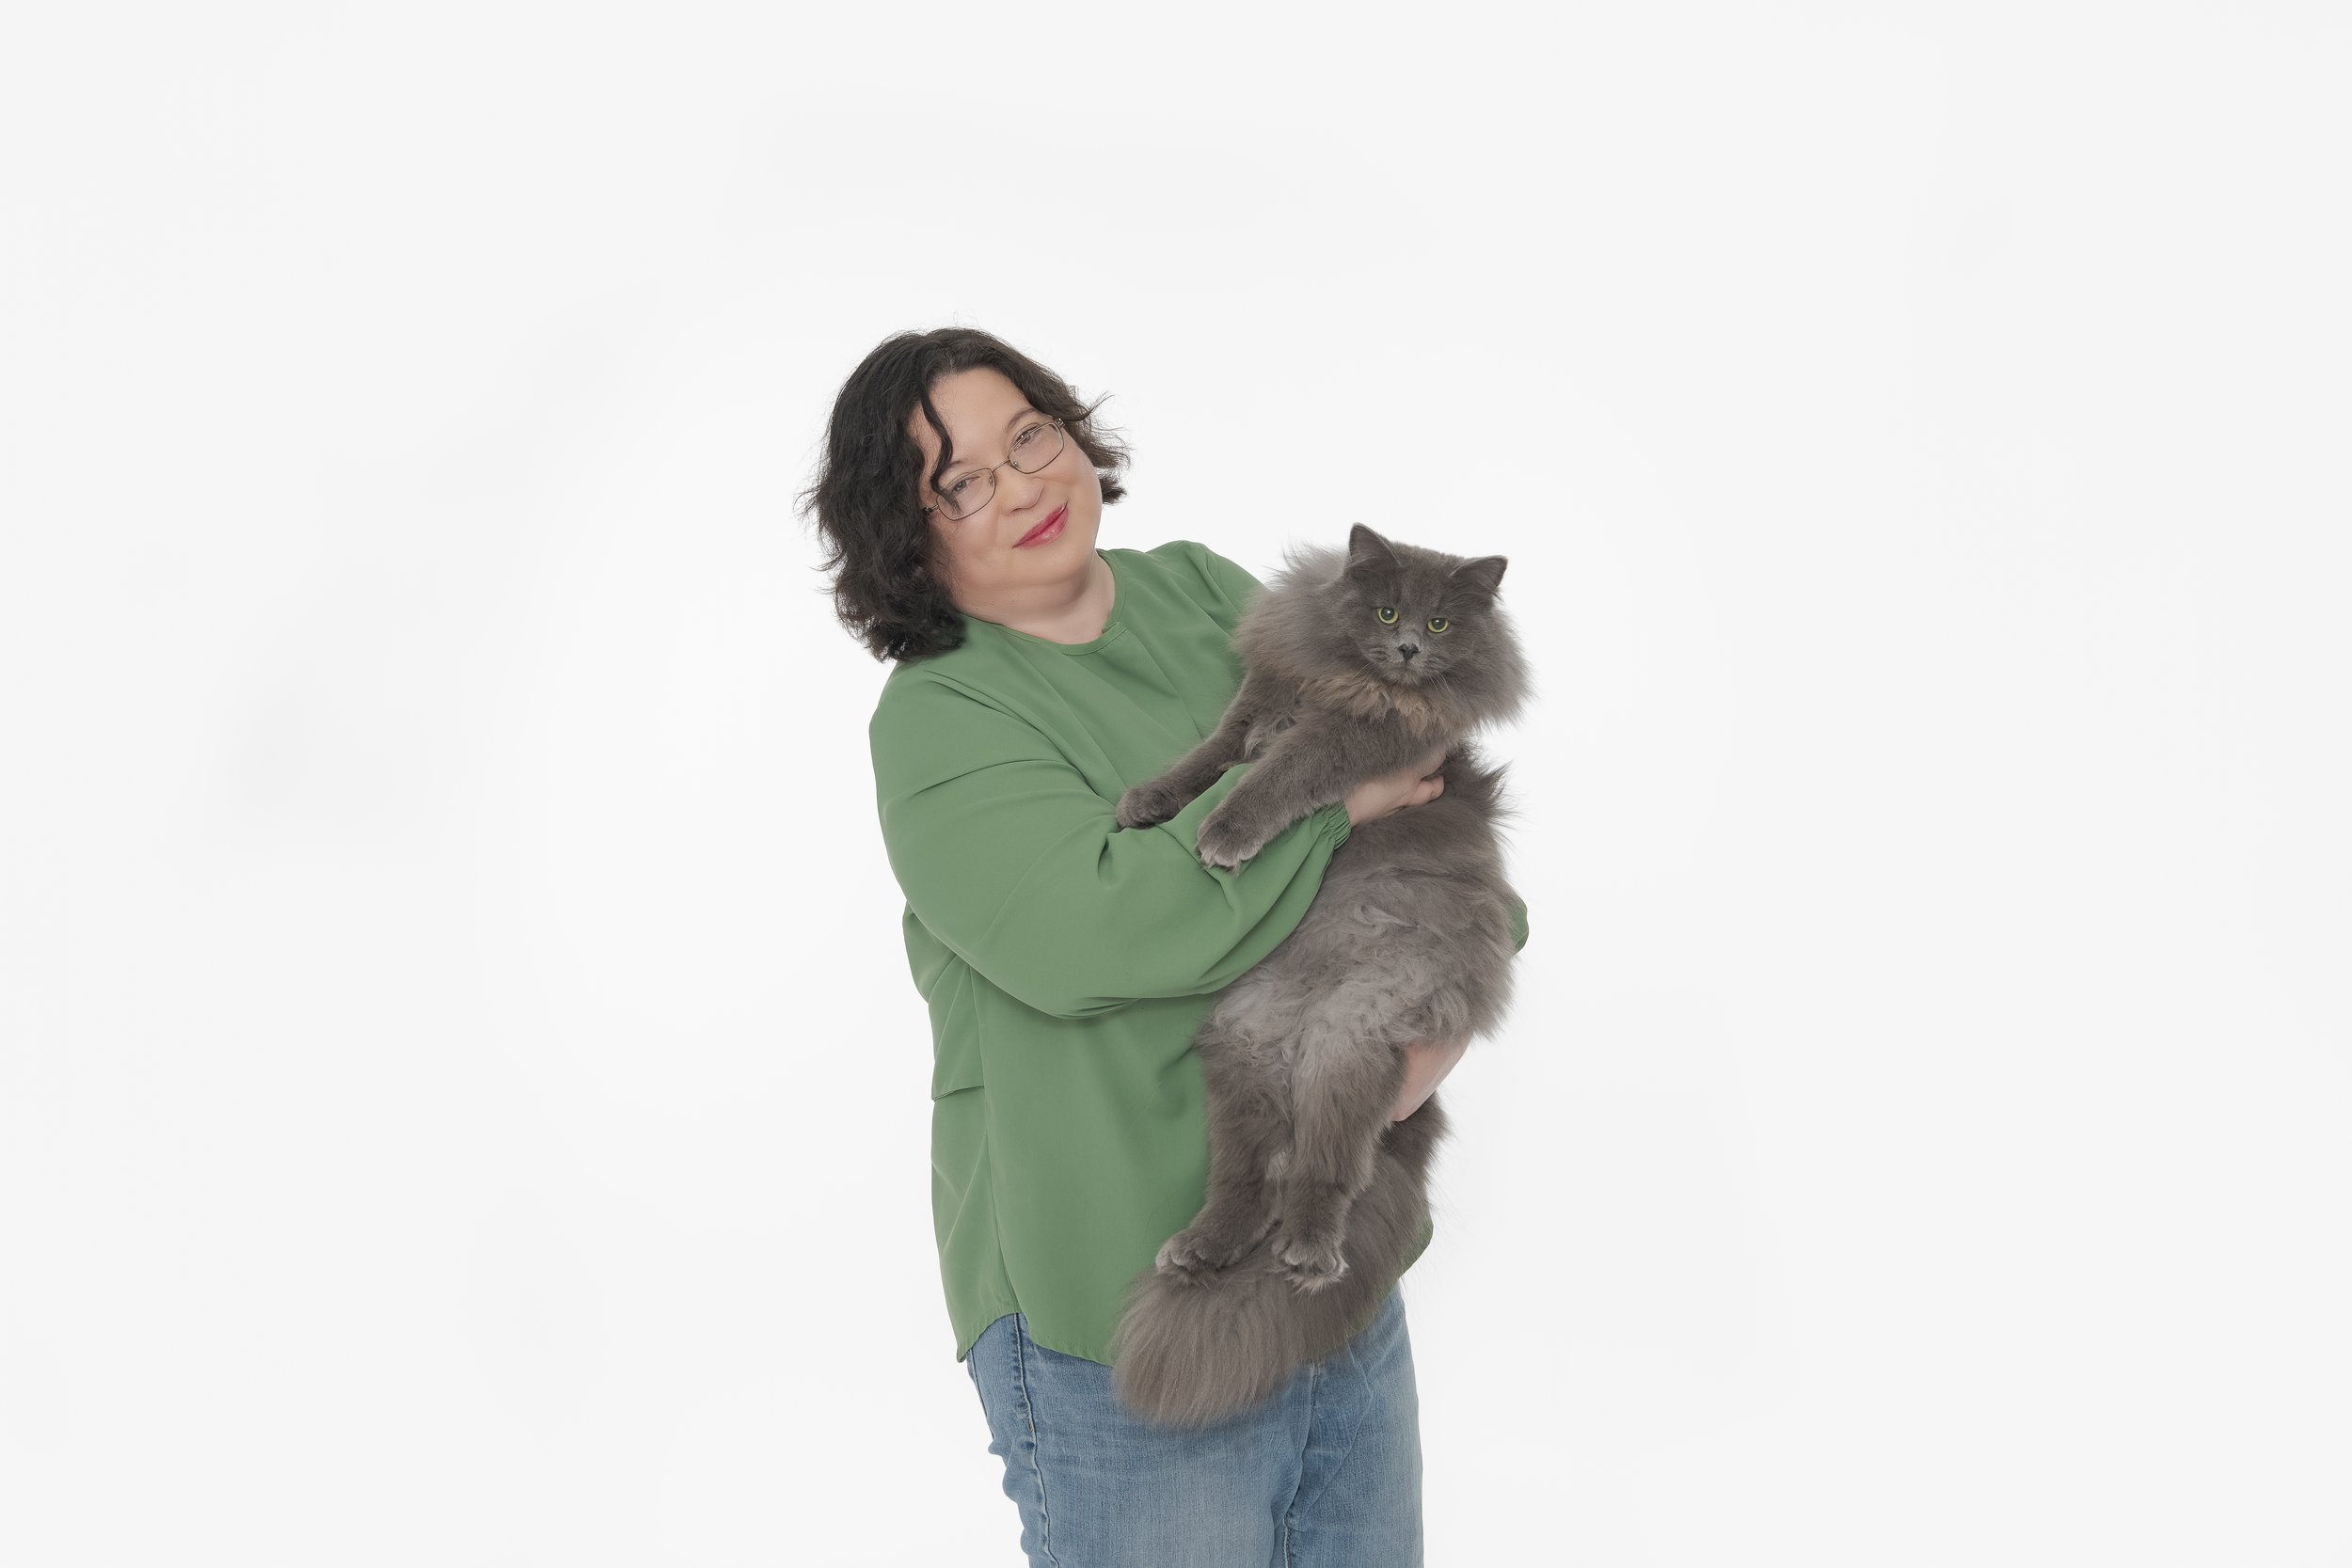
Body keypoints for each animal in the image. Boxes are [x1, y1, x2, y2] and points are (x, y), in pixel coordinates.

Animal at [1104, 522, 1531, 1428]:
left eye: (1442, 624)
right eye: (1388, 610)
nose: (1408, 649)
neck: (1351, 678)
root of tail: (1301, 1021)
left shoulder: (1358, 739)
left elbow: (1277, 775)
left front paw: (1226, 833)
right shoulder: (1263, 695)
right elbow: (1208, 757)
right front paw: (1150, 801)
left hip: (1353, 1031)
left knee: (1321, 1171)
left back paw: (1306, 1252)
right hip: (1245, 1039)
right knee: (1247, 1181)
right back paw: (1200, 1249)